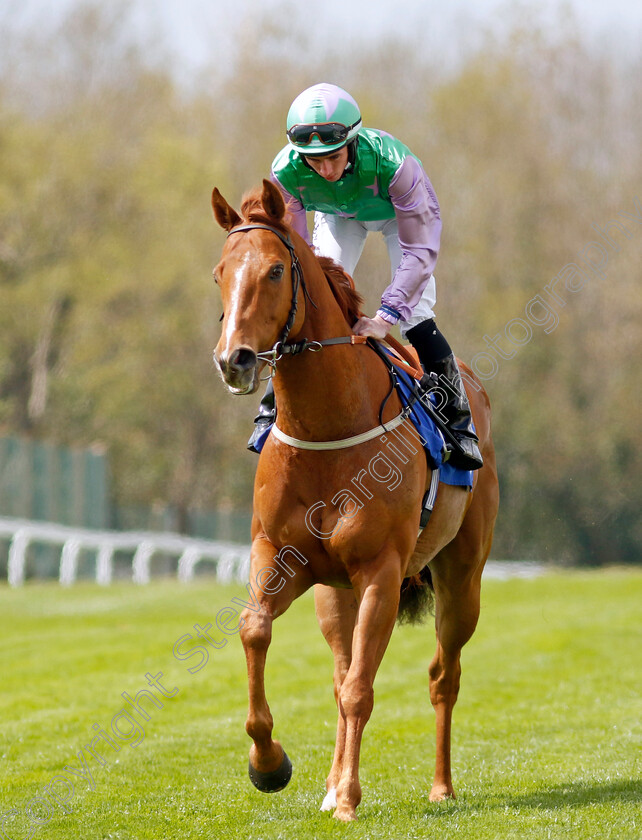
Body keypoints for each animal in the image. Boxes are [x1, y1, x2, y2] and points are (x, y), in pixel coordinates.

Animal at [211, 180, 500, 824]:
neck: (326, 428)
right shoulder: (280, 556)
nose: (233, 359)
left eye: (274, 270)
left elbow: (361, 690)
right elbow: (255, 631)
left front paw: (347, 795)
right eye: (219, 272)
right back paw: (328, 782)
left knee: (443, 674)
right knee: (342, 669)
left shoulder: (381, 573)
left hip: (461, 577)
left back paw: (439, 786)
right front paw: (270, 764)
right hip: (331, 594)